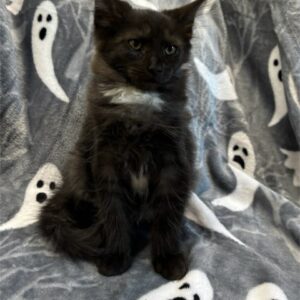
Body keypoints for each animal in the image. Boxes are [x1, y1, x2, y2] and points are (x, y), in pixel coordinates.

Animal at [38, 0, 203, 282]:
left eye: (170, 49)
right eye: (135, 44)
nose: (156, 67)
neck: (139, 104)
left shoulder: (175, 159)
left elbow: (167, 214)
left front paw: (168, 257)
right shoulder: (105, 159)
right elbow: (113, 213)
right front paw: (116, 255)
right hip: (80, 169)